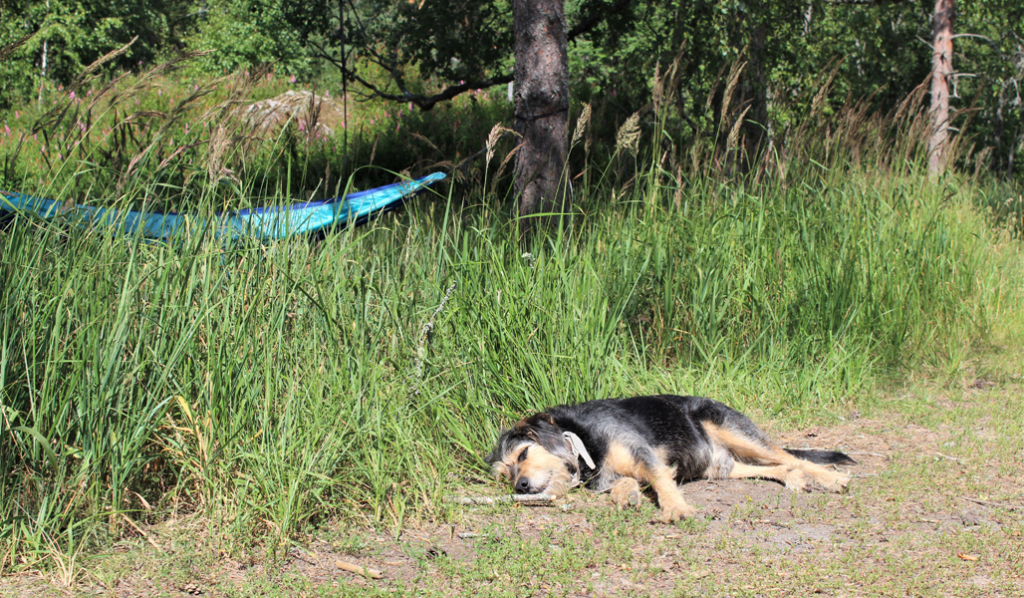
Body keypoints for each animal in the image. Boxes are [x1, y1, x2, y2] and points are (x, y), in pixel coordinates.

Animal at [487, 395, 856, 520]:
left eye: (523, 452)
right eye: (505, 476)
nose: (520, 486)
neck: (585, 445)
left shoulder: (642, 453)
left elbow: (660, 477)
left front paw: (676, 508)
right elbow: (622, 486)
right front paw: (627, 496)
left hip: (735, 430)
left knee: (791, 456)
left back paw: (833, 478)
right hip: (721, 468)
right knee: (779, 465)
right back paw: (795, 479)